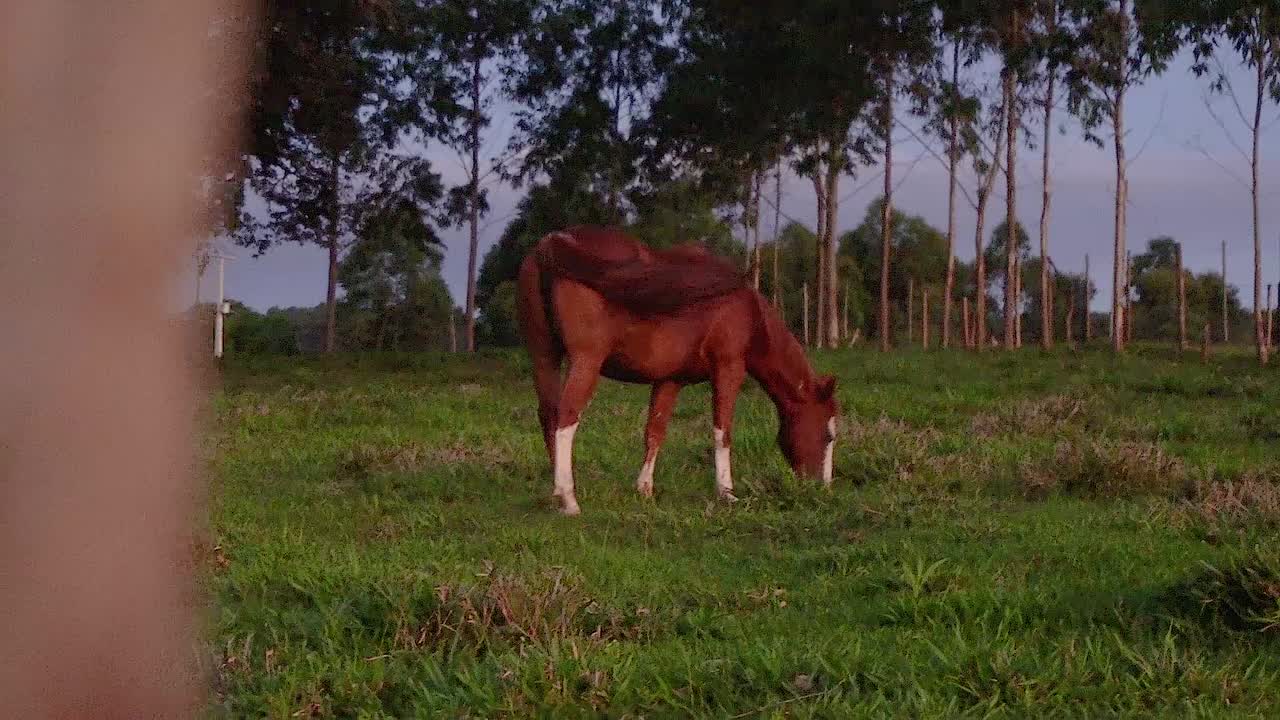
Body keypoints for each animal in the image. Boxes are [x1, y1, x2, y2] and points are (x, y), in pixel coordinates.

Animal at [517, 225, 839, 515]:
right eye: (829, 436)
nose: (823, 489)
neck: (748, 312)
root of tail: (551, 243)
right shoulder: (728, 368)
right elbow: (723, 431)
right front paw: (726, 493)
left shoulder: (670, 380)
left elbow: (655, 431)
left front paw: (645, 489)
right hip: (586, 362)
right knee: (566, 417)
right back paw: (569, 499)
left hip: (544, 356)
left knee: (548, 415)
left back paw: (558, 493)